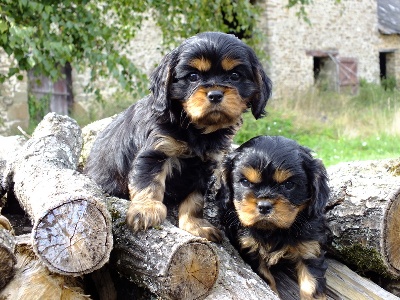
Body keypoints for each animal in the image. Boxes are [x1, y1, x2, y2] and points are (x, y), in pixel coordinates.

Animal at [84, 31, 272, 243]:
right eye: (193, 77)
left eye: (234, 76)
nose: (215, 94)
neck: (193, 127)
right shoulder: (155, 152)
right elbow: (149, 182)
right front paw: (146, 210)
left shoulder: (204, 168)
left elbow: (195, 200)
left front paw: (195, 225)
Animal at [220, 135, 330, 298]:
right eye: (245, 182)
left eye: (289, 184)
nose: (264, 205)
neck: (272, 231)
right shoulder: (249, 248)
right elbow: (265, 277)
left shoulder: (310, 248)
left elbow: (311, 286)